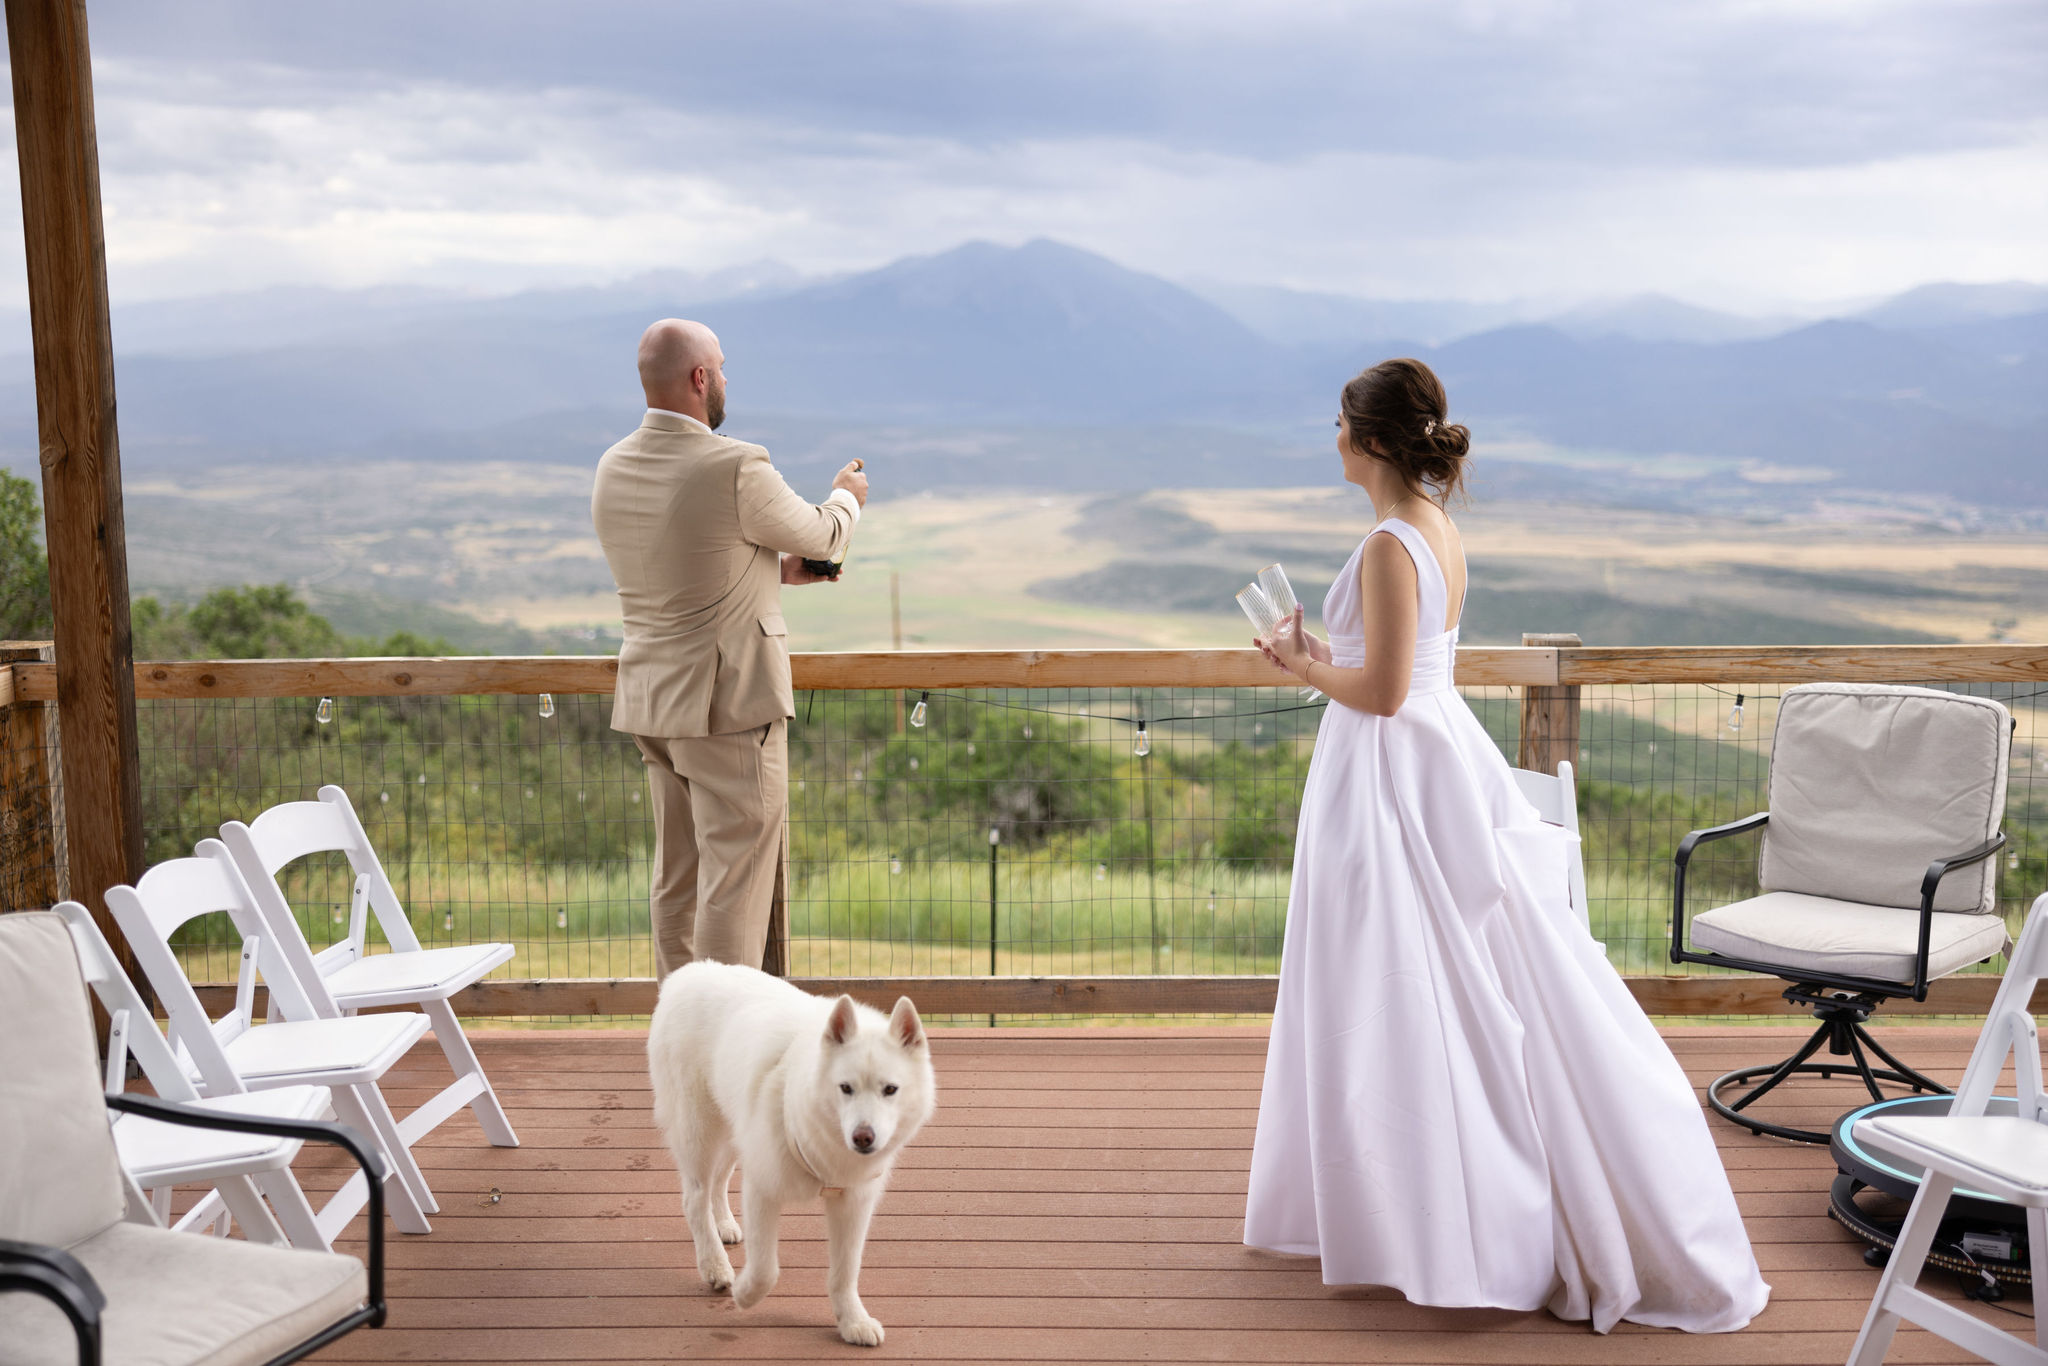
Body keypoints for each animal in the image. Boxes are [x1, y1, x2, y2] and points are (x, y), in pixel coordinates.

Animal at [647, 962, 937, 1343]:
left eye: (890, 1090)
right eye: (845, 1088)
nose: (863, 1137)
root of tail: (687, 973)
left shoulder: (853, 1204)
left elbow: (845, 1272)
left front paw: (852, 1321)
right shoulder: (763, 1188)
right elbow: (766, 1269)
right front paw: (745, 1294)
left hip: (735, 1132)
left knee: (718, 1182)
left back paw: (724, 1226)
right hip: (701, 1133)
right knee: (694, 1198)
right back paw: (715, 1266)